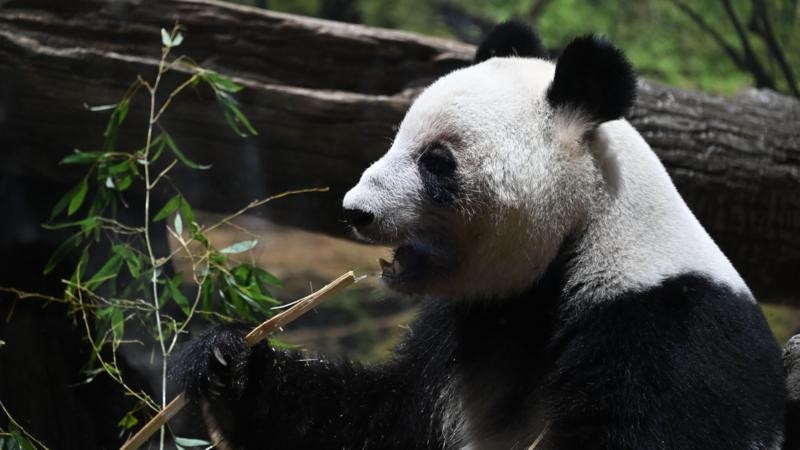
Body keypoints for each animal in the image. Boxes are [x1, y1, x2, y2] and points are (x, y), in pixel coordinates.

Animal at [173, 22, 788, 450]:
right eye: (396, 137)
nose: (355, 211)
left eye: (435, 161)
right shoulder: (463, 331)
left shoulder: (662, 329)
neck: (580, 237)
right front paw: (226, 360)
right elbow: (378, 416)